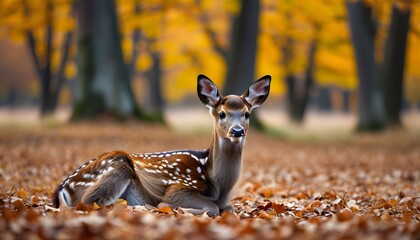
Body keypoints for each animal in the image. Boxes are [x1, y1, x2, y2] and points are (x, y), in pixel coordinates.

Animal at [52, 74, 270, 216]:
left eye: (247, 114)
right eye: (222, 114)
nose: (237, 131)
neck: (218, 185)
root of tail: (63, 189)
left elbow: (229, 208)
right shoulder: (179, 188)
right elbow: (212, 208)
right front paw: (179, 209)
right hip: (118, 166)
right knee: (88, 204)